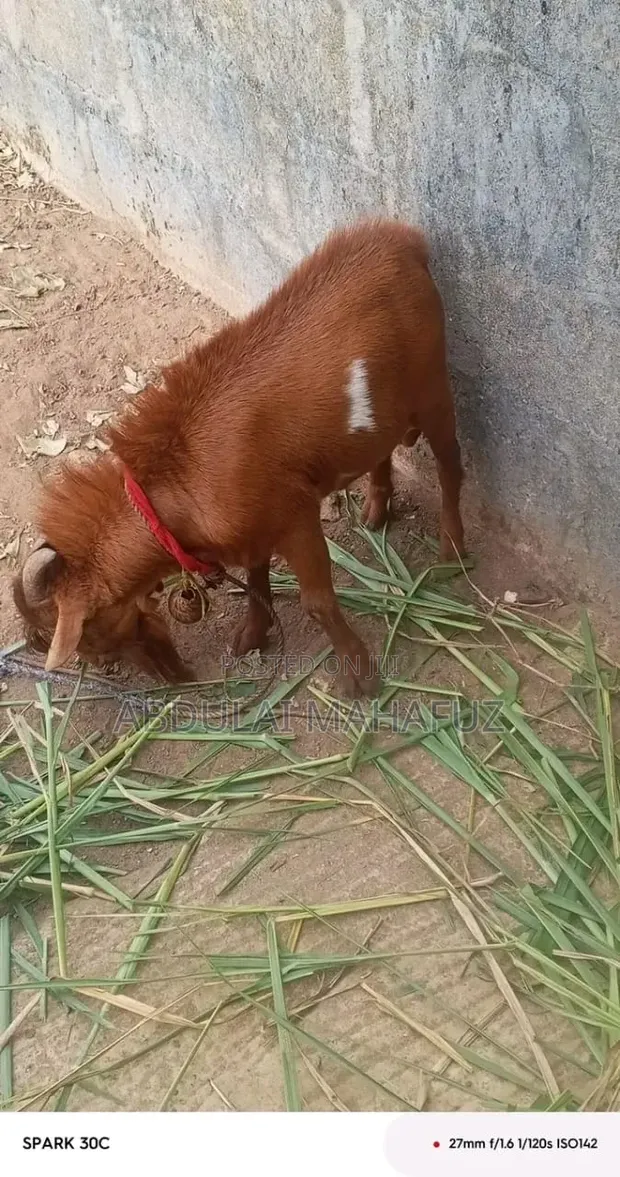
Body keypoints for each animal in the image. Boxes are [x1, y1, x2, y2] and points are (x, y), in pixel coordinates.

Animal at [13, 218, 465, 697]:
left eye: (88, 636)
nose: (168, 677)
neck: (180, 486)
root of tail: (405, 238)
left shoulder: (295, 516)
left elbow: (317, 602)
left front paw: (359, 674)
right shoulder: (253, 528)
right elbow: (254, 580)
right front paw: (252, 636)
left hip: (433, 388)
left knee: (450, 465)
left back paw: (452, 550)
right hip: (383, 408)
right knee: (382, 448)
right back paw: (376, 511)